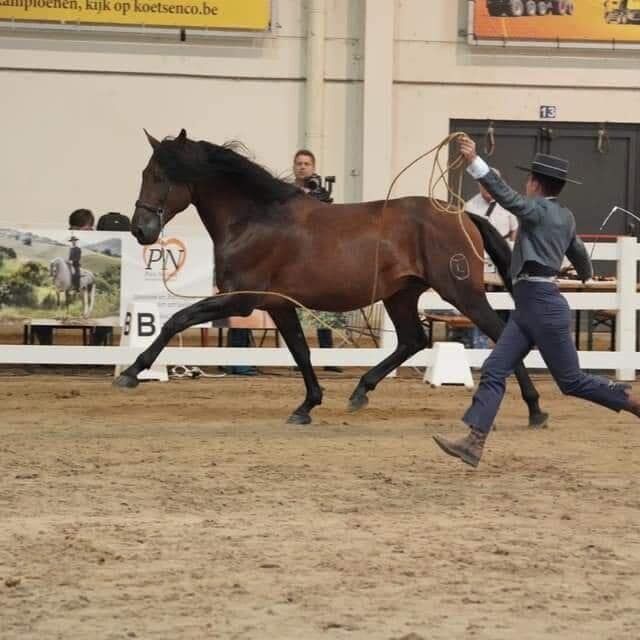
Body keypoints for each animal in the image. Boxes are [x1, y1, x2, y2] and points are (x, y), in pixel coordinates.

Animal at [114, 129, 544, 428]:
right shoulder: (278, 304)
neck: (255, 217)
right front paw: (307, 405)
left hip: (461, 293)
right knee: (413, 340)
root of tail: (460, 213)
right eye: (145, 172)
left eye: (160, 175)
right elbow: (301, 352)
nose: (140, 229)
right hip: (401, 295)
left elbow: (176, 320)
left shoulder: (242, 299)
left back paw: (535, 408)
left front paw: (133, 372)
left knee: (497, 332)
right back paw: (360, 391)